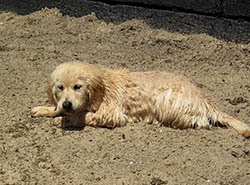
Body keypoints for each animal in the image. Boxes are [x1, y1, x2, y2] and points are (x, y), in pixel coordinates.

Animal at [31, 61, 250, 137]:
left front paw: (63, 119)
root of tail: (202, 95)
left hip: (167, 101)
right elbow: (58, 107)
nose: (67, 103)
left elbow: (81, 116)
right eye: (60, 88)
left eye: (78, 87)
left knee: (198, 122)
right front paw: (46, 109)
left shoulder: (113, 114)